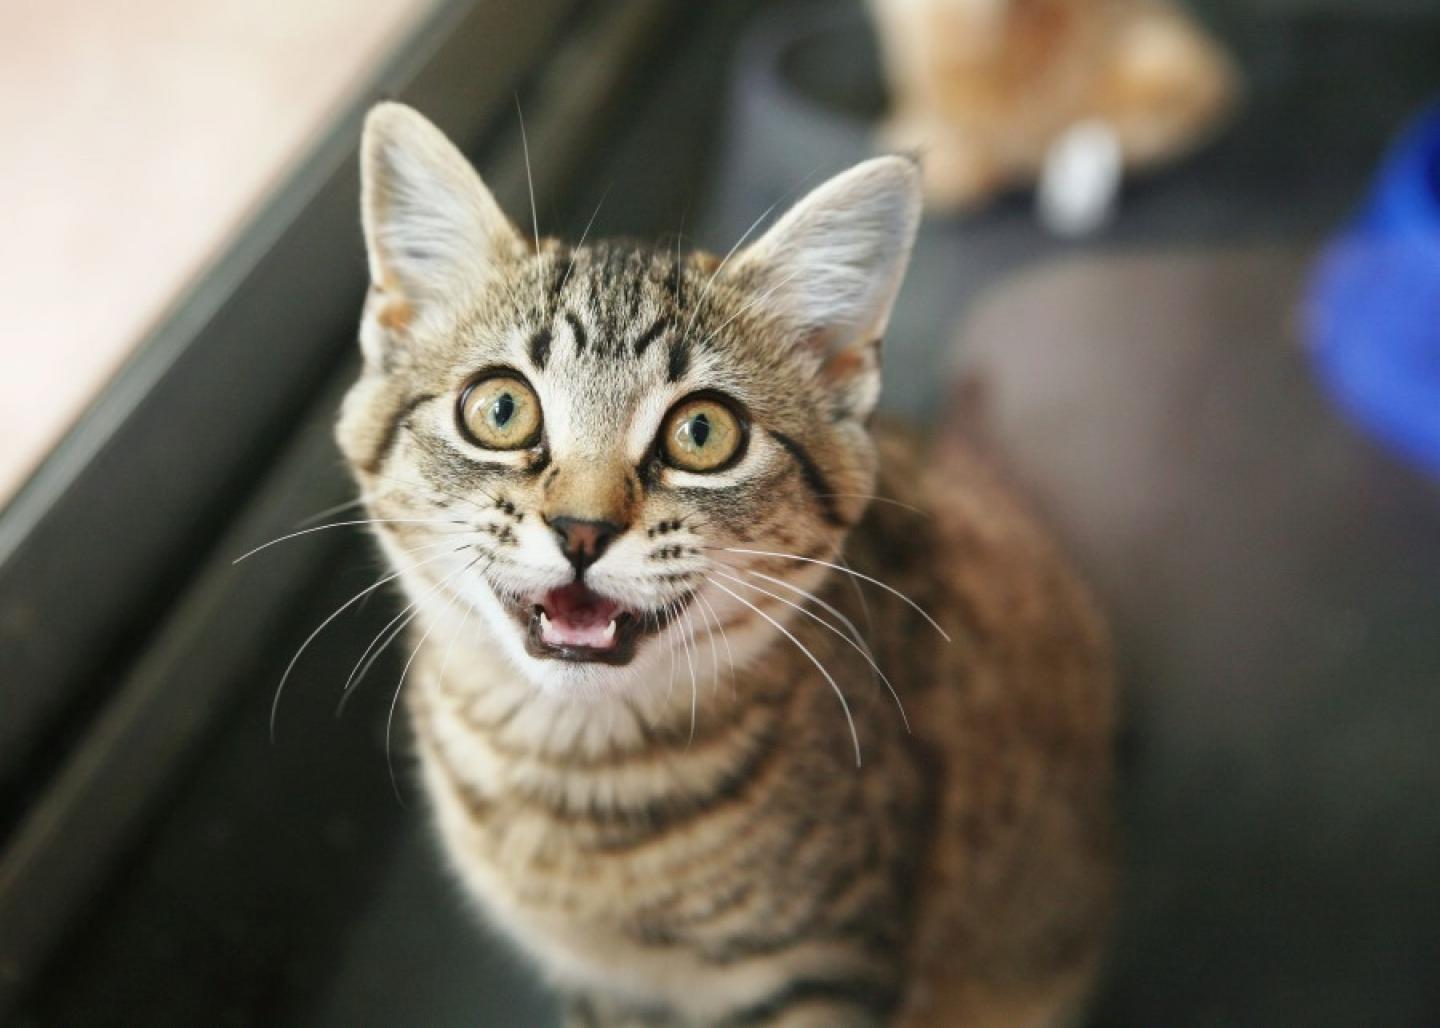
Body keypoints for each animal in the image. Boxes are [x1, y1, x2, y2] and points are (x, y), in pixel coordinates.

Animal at [336, 102, 1111, 1019]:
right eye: (500, 409)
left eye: (702, 432)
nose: (582, 530)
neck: (571, 779)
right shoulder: (602, 986)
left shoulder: (824, 969)